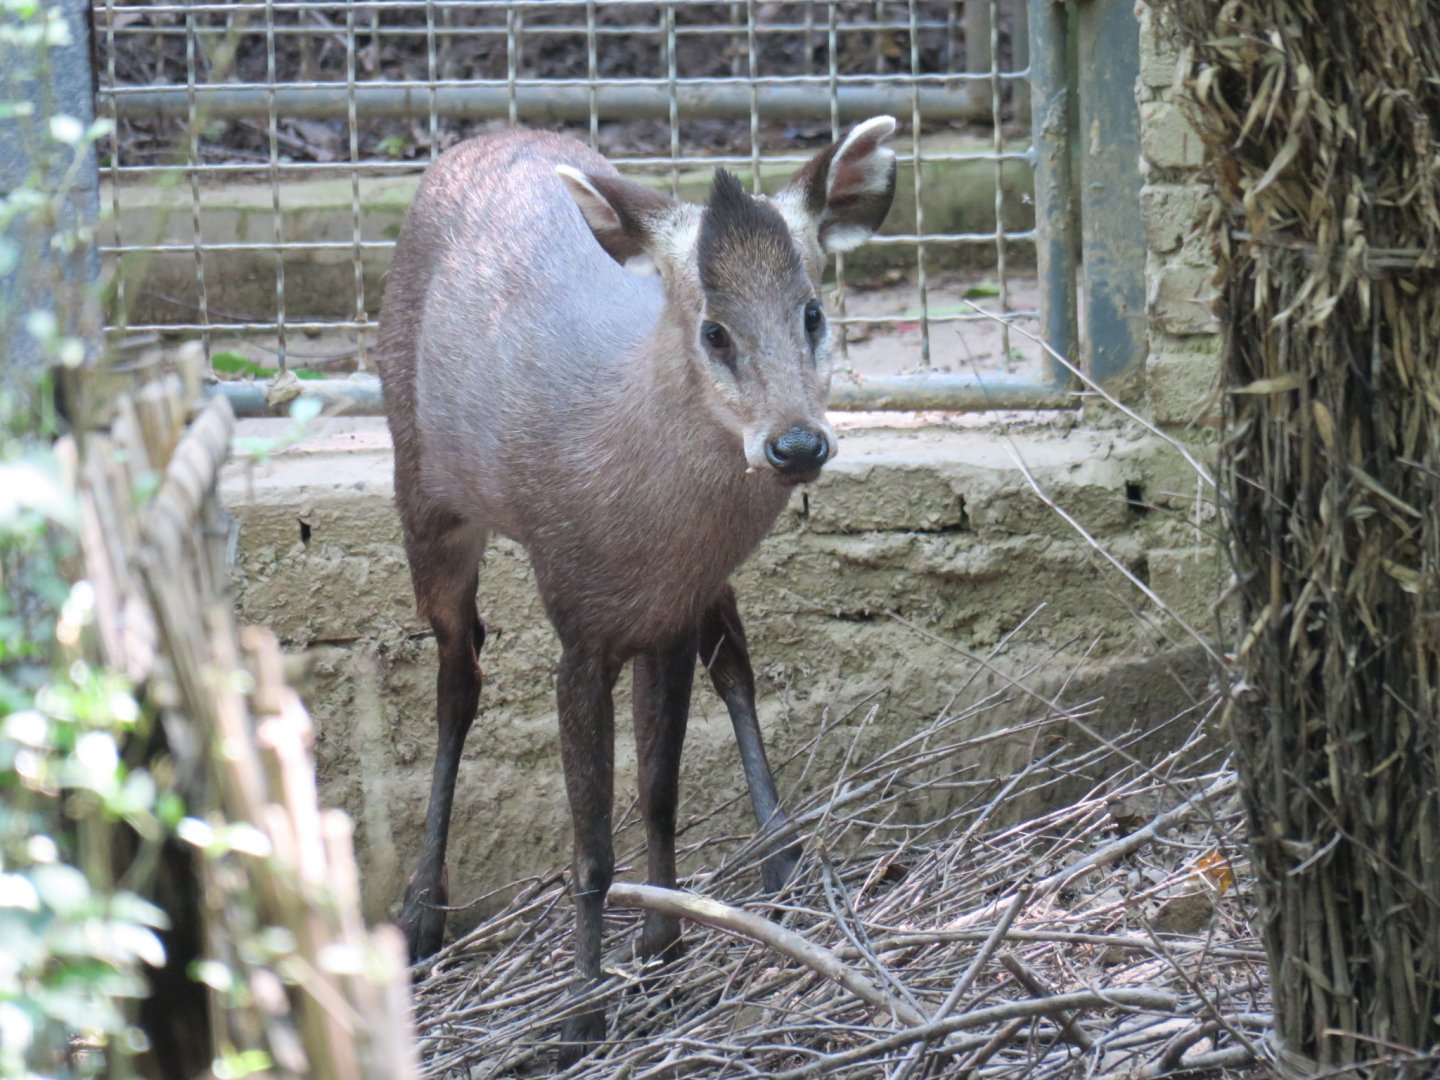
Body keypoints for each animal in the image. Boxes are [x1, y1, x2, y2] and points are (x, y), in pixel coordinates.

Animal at [375, 116, 897, 1062]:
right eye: (715, 332)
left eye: (812, 312)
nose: (797, 444)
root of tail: (487, 136)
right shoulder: (579, 628)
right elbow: (590, 848)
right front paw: (582, 1013)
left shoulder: (669, 614)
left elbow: (659, 788)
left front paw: (664, 944)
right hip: (421, 489)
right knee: (458, 677)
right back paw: (423, 912)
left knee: (736, 665)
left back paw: (783, 856)